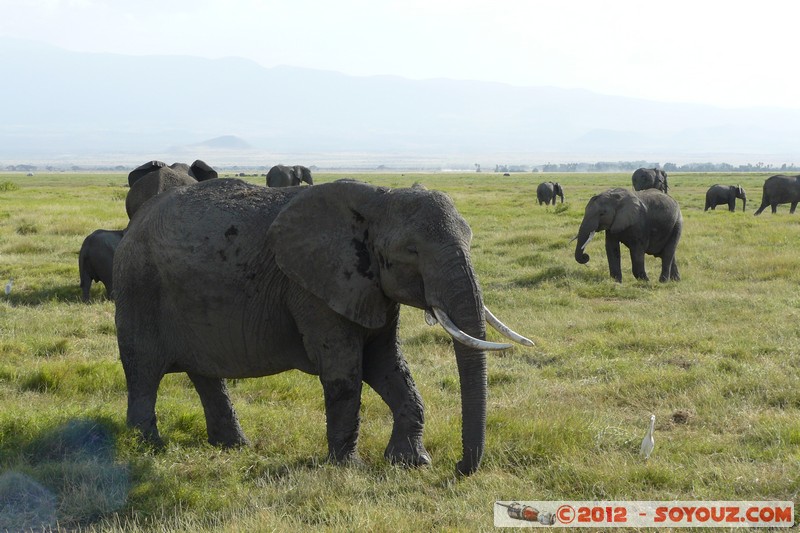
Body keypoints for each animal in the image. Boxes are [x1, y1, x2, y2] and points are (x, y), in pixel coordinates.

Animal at [113, 179, 532, 475]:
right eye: (411, 252)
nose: (460, 468)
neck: (377, 202)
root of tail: (135, 222)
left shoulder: (371, 286)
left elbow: (389, 366)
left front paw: (412, 464)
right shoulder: (314, 288)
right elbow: (345, 371)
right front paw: (349, 469)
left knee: (204, 374)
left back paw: (234, 447)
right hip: (138, 287)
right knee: (143, 370)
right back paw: (146, 447)